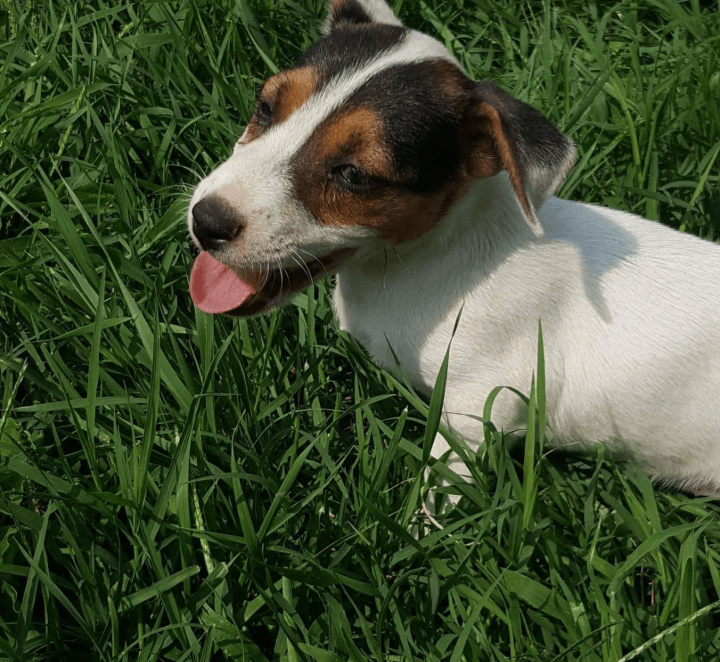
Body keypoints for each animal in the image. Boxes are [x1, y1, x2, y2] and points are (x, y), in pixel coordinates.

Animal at [187, 0, 720, 496]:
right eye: (266, 108)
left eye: (354, 175)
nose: (205, 221)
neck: (426, 257)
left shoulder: (482, 406)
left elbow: (438, 487)